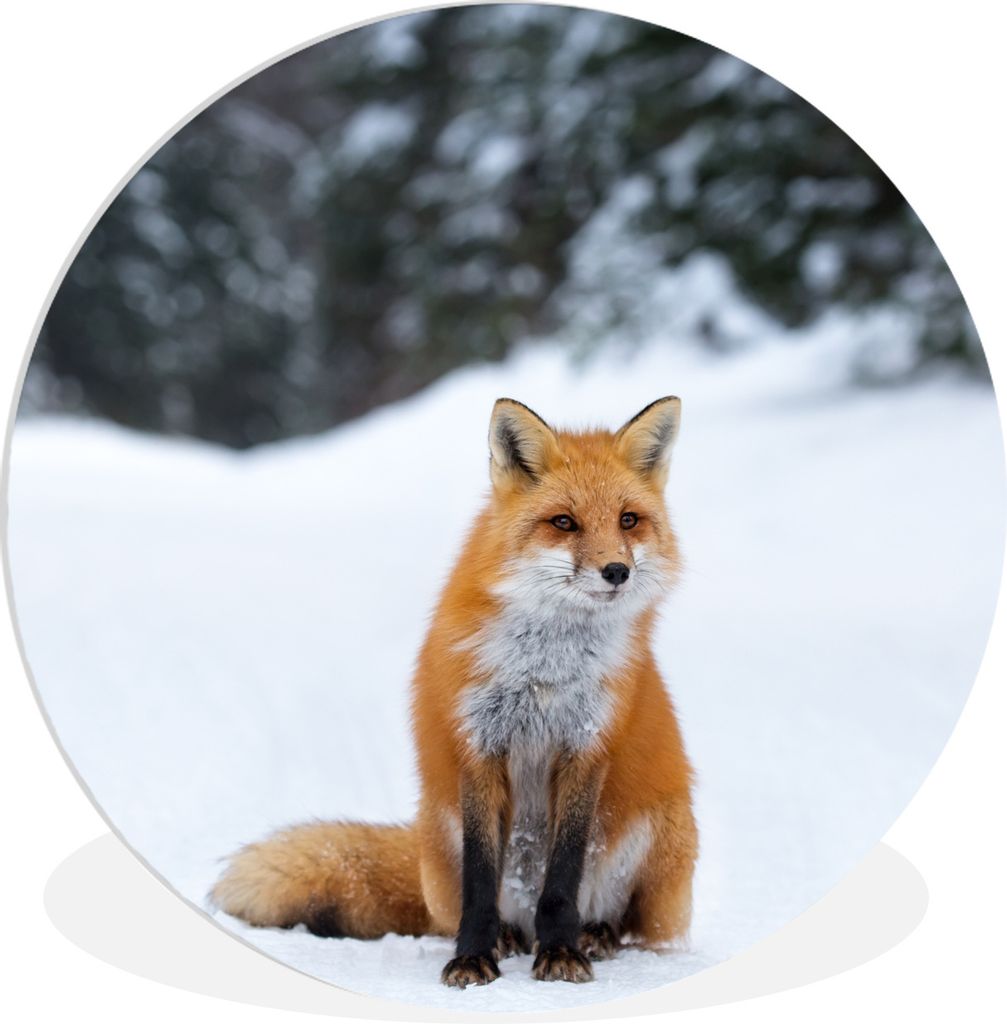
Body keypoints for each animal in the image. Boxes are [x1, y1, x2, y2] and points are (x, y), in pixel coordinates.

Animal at [211, 396, 697, 988]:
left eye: (628, 519)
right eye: (564, 522)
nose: (617, 571)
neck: (544, 671)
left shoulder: (586, 747)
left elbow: (562, 878)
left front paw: (561, 951)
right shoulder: (479, 745)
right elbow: (480, 881)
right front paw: (473, 956)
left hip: (663, 835)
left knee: (632, 928)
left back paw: (594, 935)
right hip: (439, 832)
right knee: (467, 910)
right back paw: (510, 937)